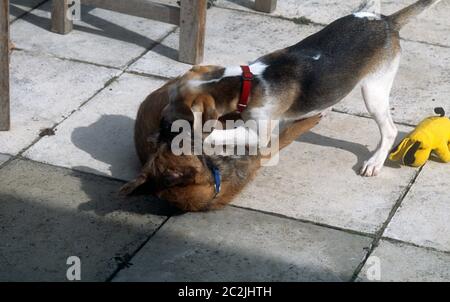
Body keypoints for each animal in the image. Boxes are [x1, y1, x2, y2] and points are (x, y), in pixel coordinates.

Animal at [162, 0, 442, 176]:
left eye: (180, 110)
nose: (163, 122)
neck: (246, 82)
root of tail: (386, 21)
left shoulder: (258, 133)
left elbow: (218, 135)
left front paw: (197, 138)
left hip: (374, 91)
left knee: (390, 130)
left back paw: (375, 162)